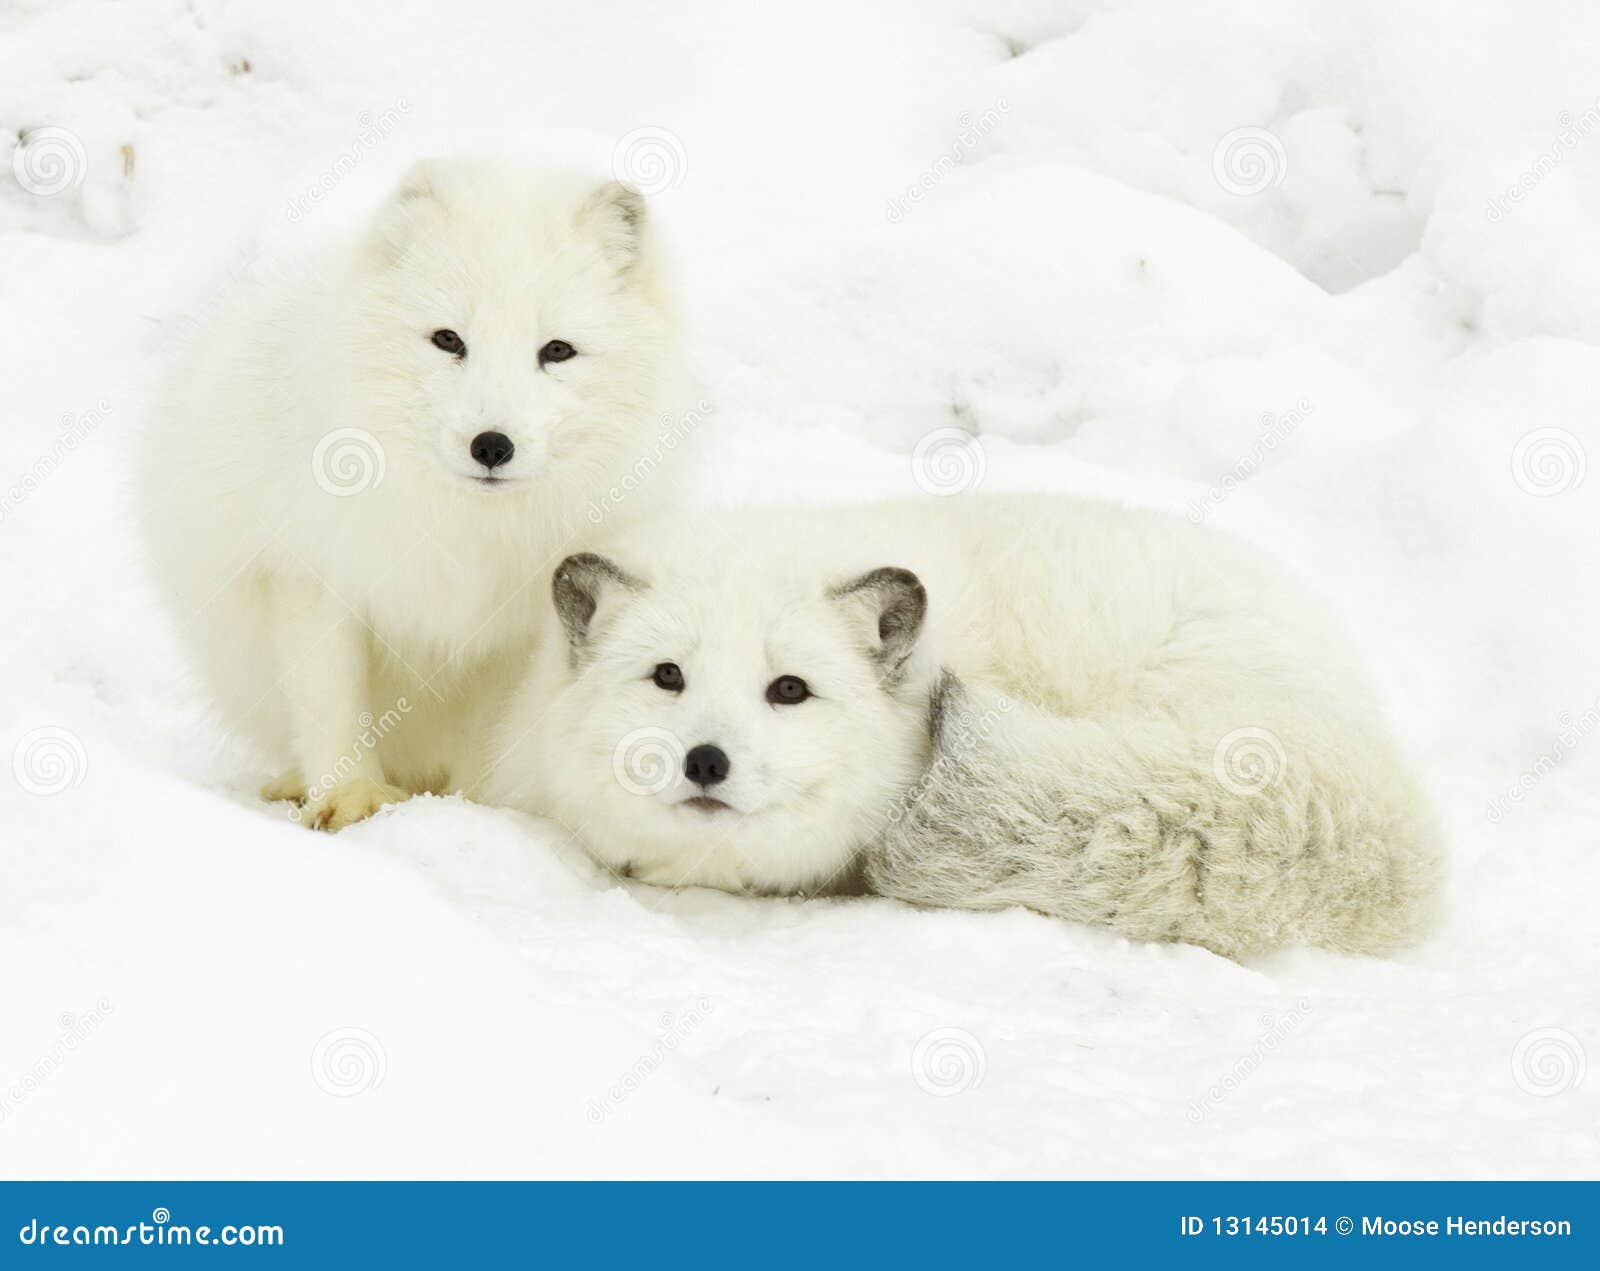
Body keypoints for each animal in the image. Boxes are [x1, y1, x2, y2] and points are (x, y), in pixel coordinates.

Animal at [136, 158, 681, 825]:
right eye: (448, 340)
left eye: (557, 351)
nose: (491, 445)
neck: (462, 524)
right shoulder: (309, 572)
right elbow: (333, 702)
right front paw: (349, 798)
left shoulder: (522, 627)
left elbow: (492, 738)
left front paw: (472, 813)